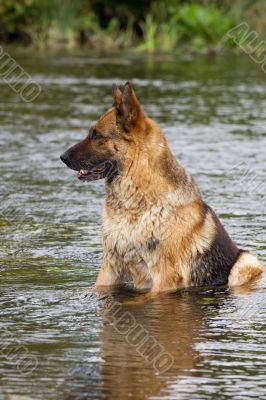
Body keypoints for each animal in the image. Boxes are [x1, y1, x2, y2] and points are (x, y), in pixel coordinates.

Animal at [60, 82, 264, 294]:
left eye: (96, 134)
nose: (62, 157)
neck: (135, 201)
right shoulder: (110, 267)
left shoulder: (165, 277)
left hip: (246, 261)